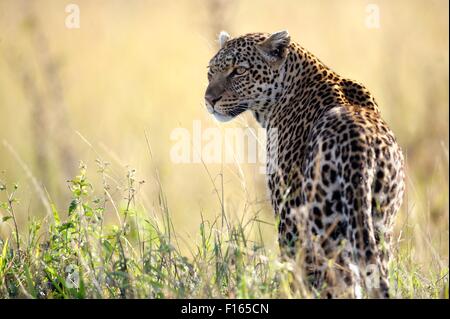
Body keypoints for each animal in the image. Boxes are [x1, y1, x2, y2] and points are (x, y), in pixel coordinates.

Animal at [204, 31, 404, 298]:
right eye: (211, 72)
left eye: (239, 71)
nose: (209, 99)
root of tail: (357, 145)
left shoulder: (287, 213)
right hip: (381, 224)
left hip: (319, 231)